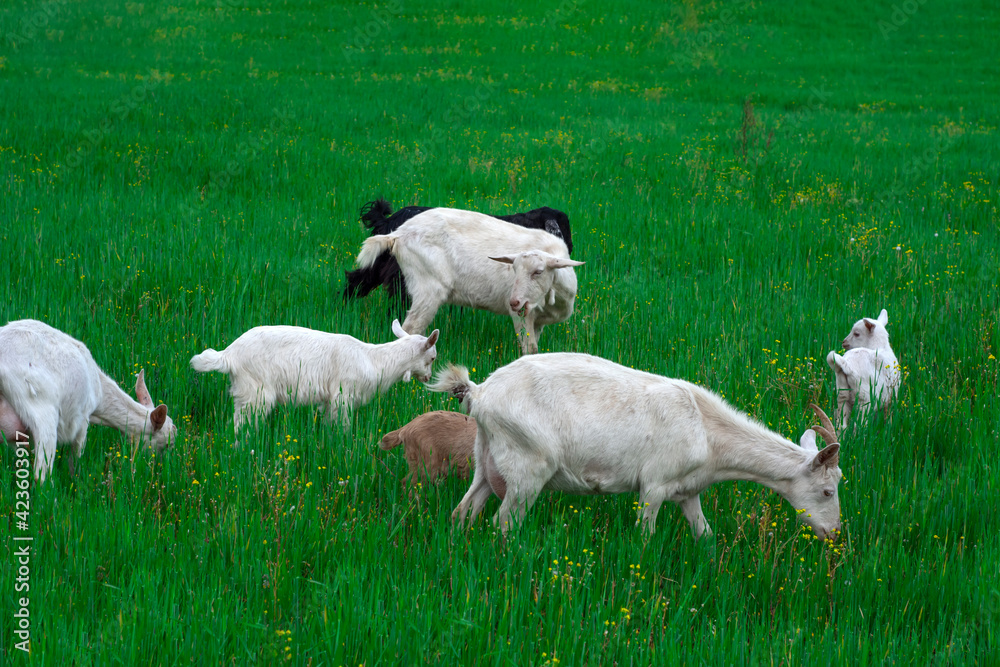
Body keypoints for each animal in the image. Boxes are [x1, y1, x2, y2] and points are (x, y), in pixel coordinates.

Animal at [0, 319, 176, 483]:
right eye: (167, 444)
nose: (158, 468)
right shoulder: (83, 416)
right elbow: (75, 458)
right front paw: (75, 483)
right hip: (41, 408)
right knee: (41, 475)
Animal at [190, 319, 439, 439]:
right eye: (433, 357)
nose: (427, 377)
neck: (372, 359)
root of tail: (228, 354)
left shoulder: (329, 400)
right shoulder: (343, 394)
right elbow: (344, 426)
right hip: (257, 391)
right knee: (242, 423)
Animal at [355, 208, 584, 355]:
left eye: (539, 272)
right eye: (514, 269)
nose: (514, 302)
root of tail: (397, 234)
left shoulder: (537, 321)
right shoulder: (521, 316)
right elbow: (530, 349)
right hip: (428, 287)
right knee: (410, 328)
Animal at [428, 353, 843, 540]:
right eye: (827, 490)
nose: (834, 534)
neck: (708, 432)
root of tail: (479, 393)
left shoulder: (687, 491)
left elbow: (704, 534)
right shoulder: (655, 485)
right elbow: (646, 536)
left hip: (487, 460)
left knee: (463, 512)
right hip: (527, 468)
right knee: (503, 523)